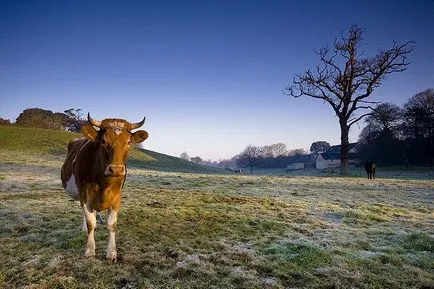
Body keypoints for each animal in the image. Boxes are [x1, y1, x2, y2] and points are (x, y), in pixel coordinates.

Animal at [61, 113, 149, 260]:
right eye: (103, 141)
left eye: (128, 142)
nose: (116, 169)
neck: (103, 184)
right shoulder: (85, 195)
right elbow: (91, 222)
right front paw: (90, 249)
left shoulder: (117, 196)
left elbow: (112, 224)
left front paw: (112, 252)